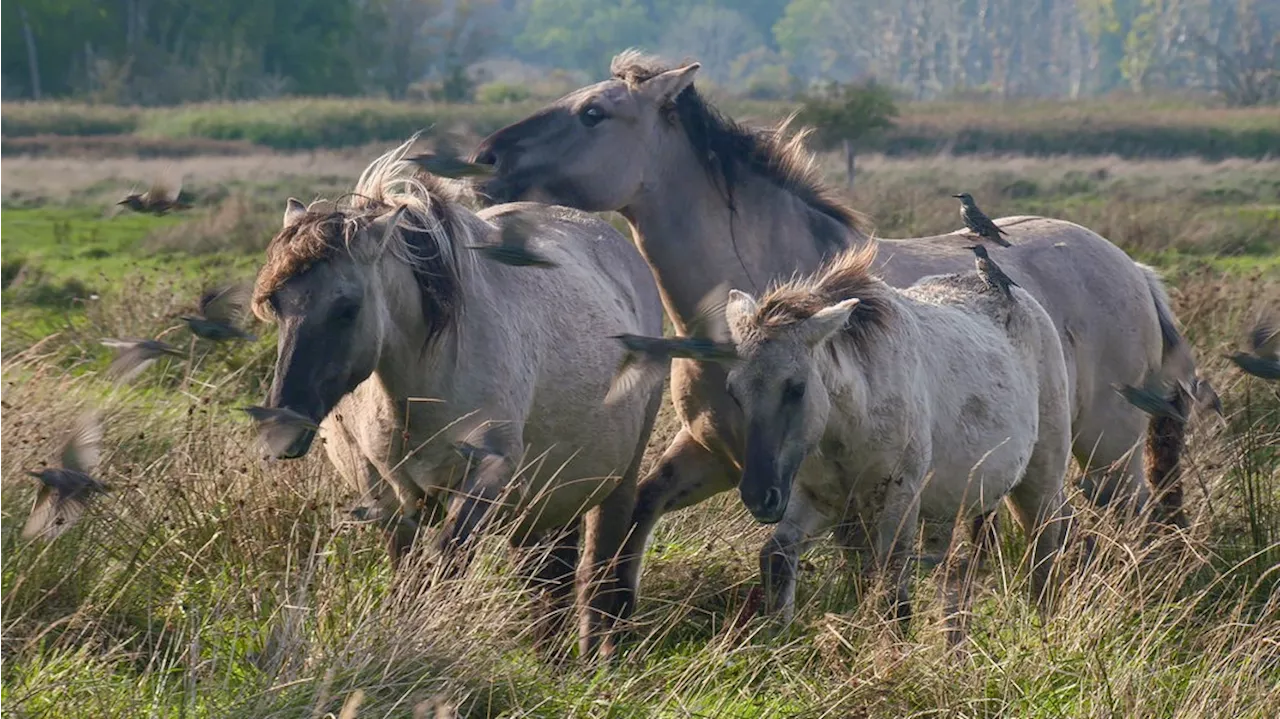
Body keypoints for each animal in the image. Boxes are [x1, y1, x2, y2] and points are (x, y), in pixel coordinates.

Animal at [254, 135, 665, 655]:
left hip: (615, 480)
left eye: (347, 308)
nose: (278, 433)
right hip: (551, 492)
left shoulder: (486, 477)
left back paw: (598, 660)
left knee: (597, 574)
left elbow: (445, 567)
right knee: (547, 578)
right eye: (275, 303)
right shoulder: (385, 496)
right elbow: (410, 577)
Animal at [727, 243, 1075, 639]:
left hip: (1039, 488)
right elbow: (777, 556)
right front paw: (778, 636)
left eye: (796, 388)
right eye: (733, 392)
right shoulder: (822, 502)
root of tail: (1019, 298)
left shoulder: (899, 499)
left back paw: (1044, 632)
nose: (759, 496)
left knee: (1043, 563)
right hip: (954, 509)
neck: (855, 415)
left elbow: (895, 596)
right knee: (956, 581)